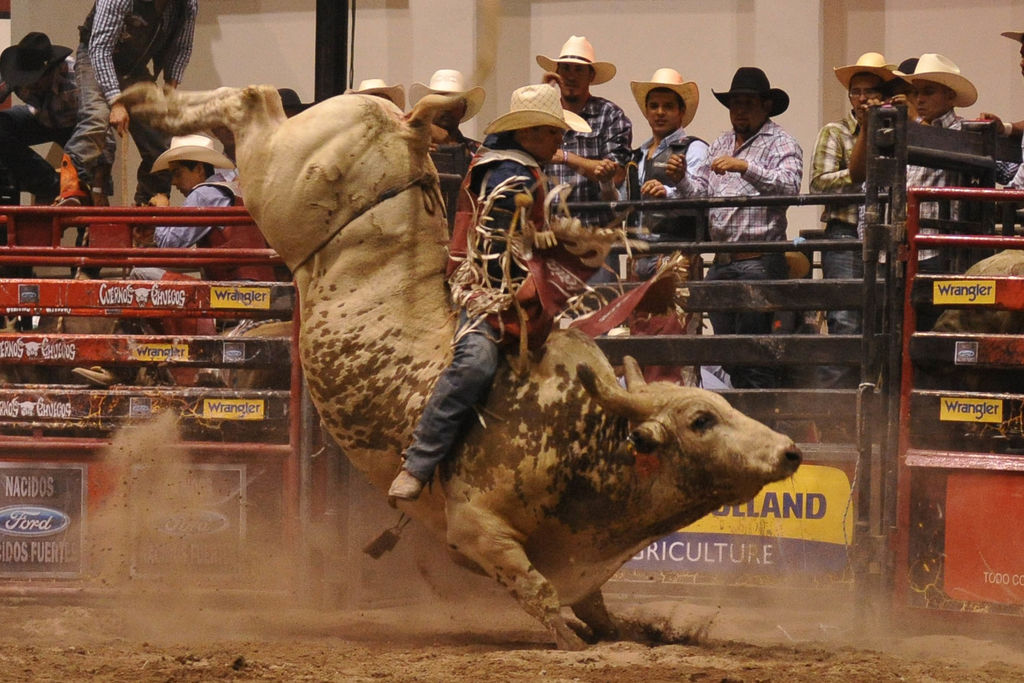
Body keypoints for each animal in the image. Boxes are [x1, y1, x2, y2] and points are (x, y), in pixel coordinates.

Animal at [119, 82, 798, 651]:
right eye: (701, 420)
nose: (789, 450)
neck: (588, 431)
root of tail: (404, 126)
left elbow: (596, 606)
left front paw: (631, 631)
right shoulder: (475, 528)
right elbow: (538, 591)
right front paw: (572, 641)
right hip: (282, 180)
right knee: (249, 101)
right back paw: (147, 101)